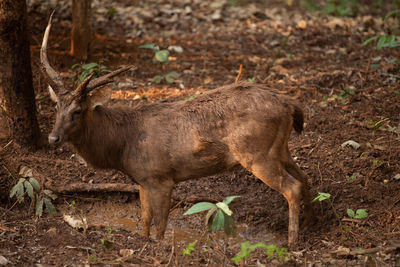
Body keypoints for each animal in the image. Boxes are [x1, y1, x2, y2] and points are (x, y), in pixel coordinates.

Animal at [41, 14, 316, 249]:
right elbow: (144, 219)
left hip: (256, 152)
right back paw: (309, 224)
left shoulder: (162, 177)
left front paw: (159, 245)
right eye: (56, 106)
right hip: (279, 148)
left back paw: (291, 241)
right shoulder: (142, 179)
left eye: (78, 111)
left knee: (292, 186)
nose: (53, 137)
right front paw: (142, 239)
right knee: (304, 177)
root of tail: (289, 104)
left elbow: (161, 224)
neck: (122, 145)